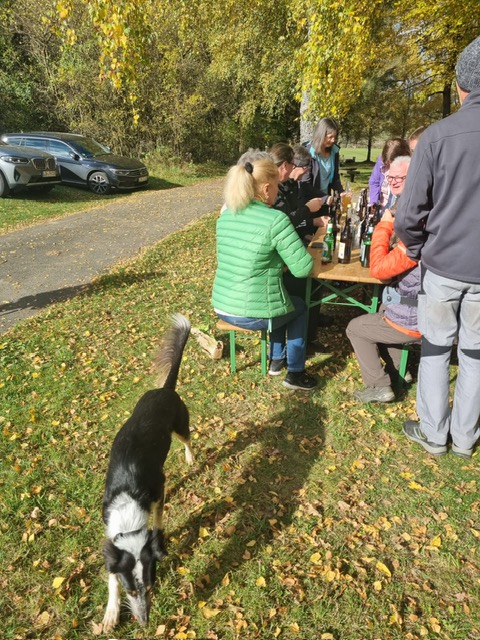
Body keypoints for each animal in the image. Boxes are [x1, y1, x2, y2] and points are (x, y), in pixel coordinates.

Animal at [101, 314, 193, 632]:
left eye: (152, 588)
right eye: (131, 591)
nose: (144, 623)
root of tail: (165, 389)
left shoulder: (159, 487)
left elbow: (159, 518)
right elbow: (111, 577)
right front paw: (110, 613)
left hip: (180, 426)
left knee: (188, 439)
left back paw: (191, 457)